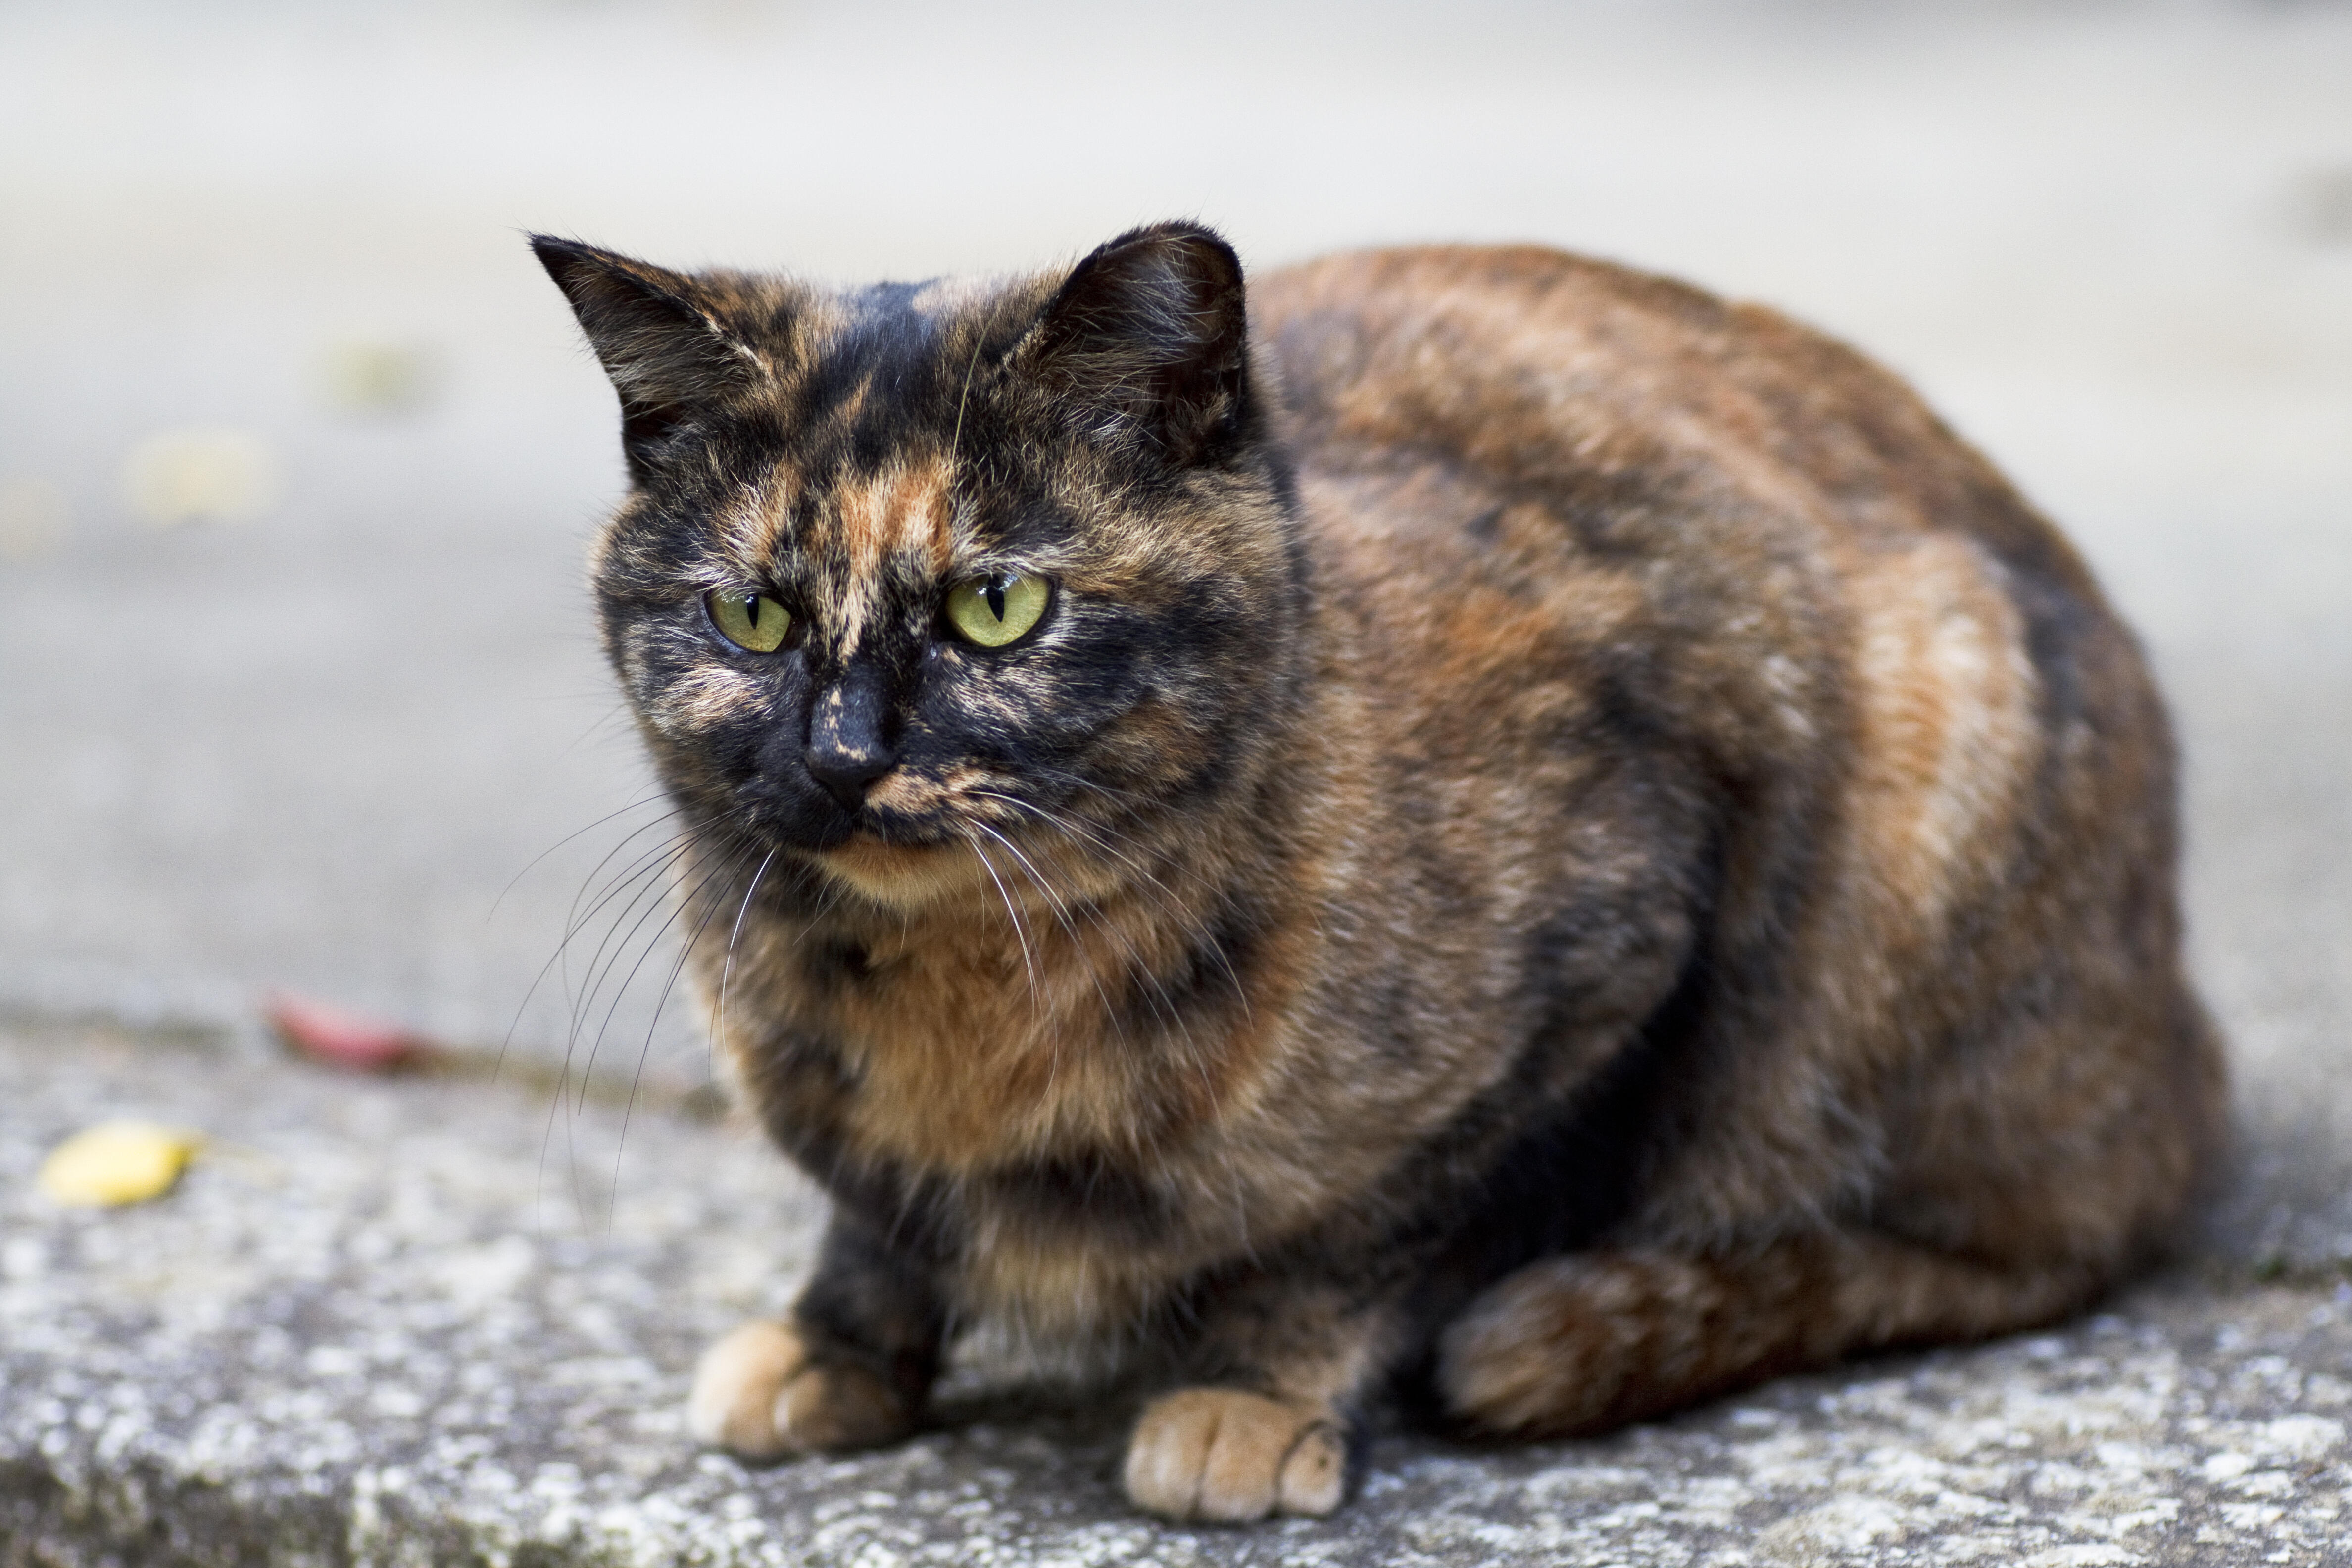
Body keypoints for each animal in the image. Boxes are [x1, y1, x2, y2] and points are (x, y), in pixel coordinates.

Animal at [529, 221, 2220, 1523]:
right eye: (752, 616)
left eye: (996, 608)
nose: (840, 755)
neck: (969, 1000)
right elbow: (875, 1218)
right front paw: (834, 1348)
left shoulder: (1613, 967)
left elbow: (1372, 1236)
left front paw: (1253, 1397)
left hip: (1935, 783)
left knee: (2001, 1254)